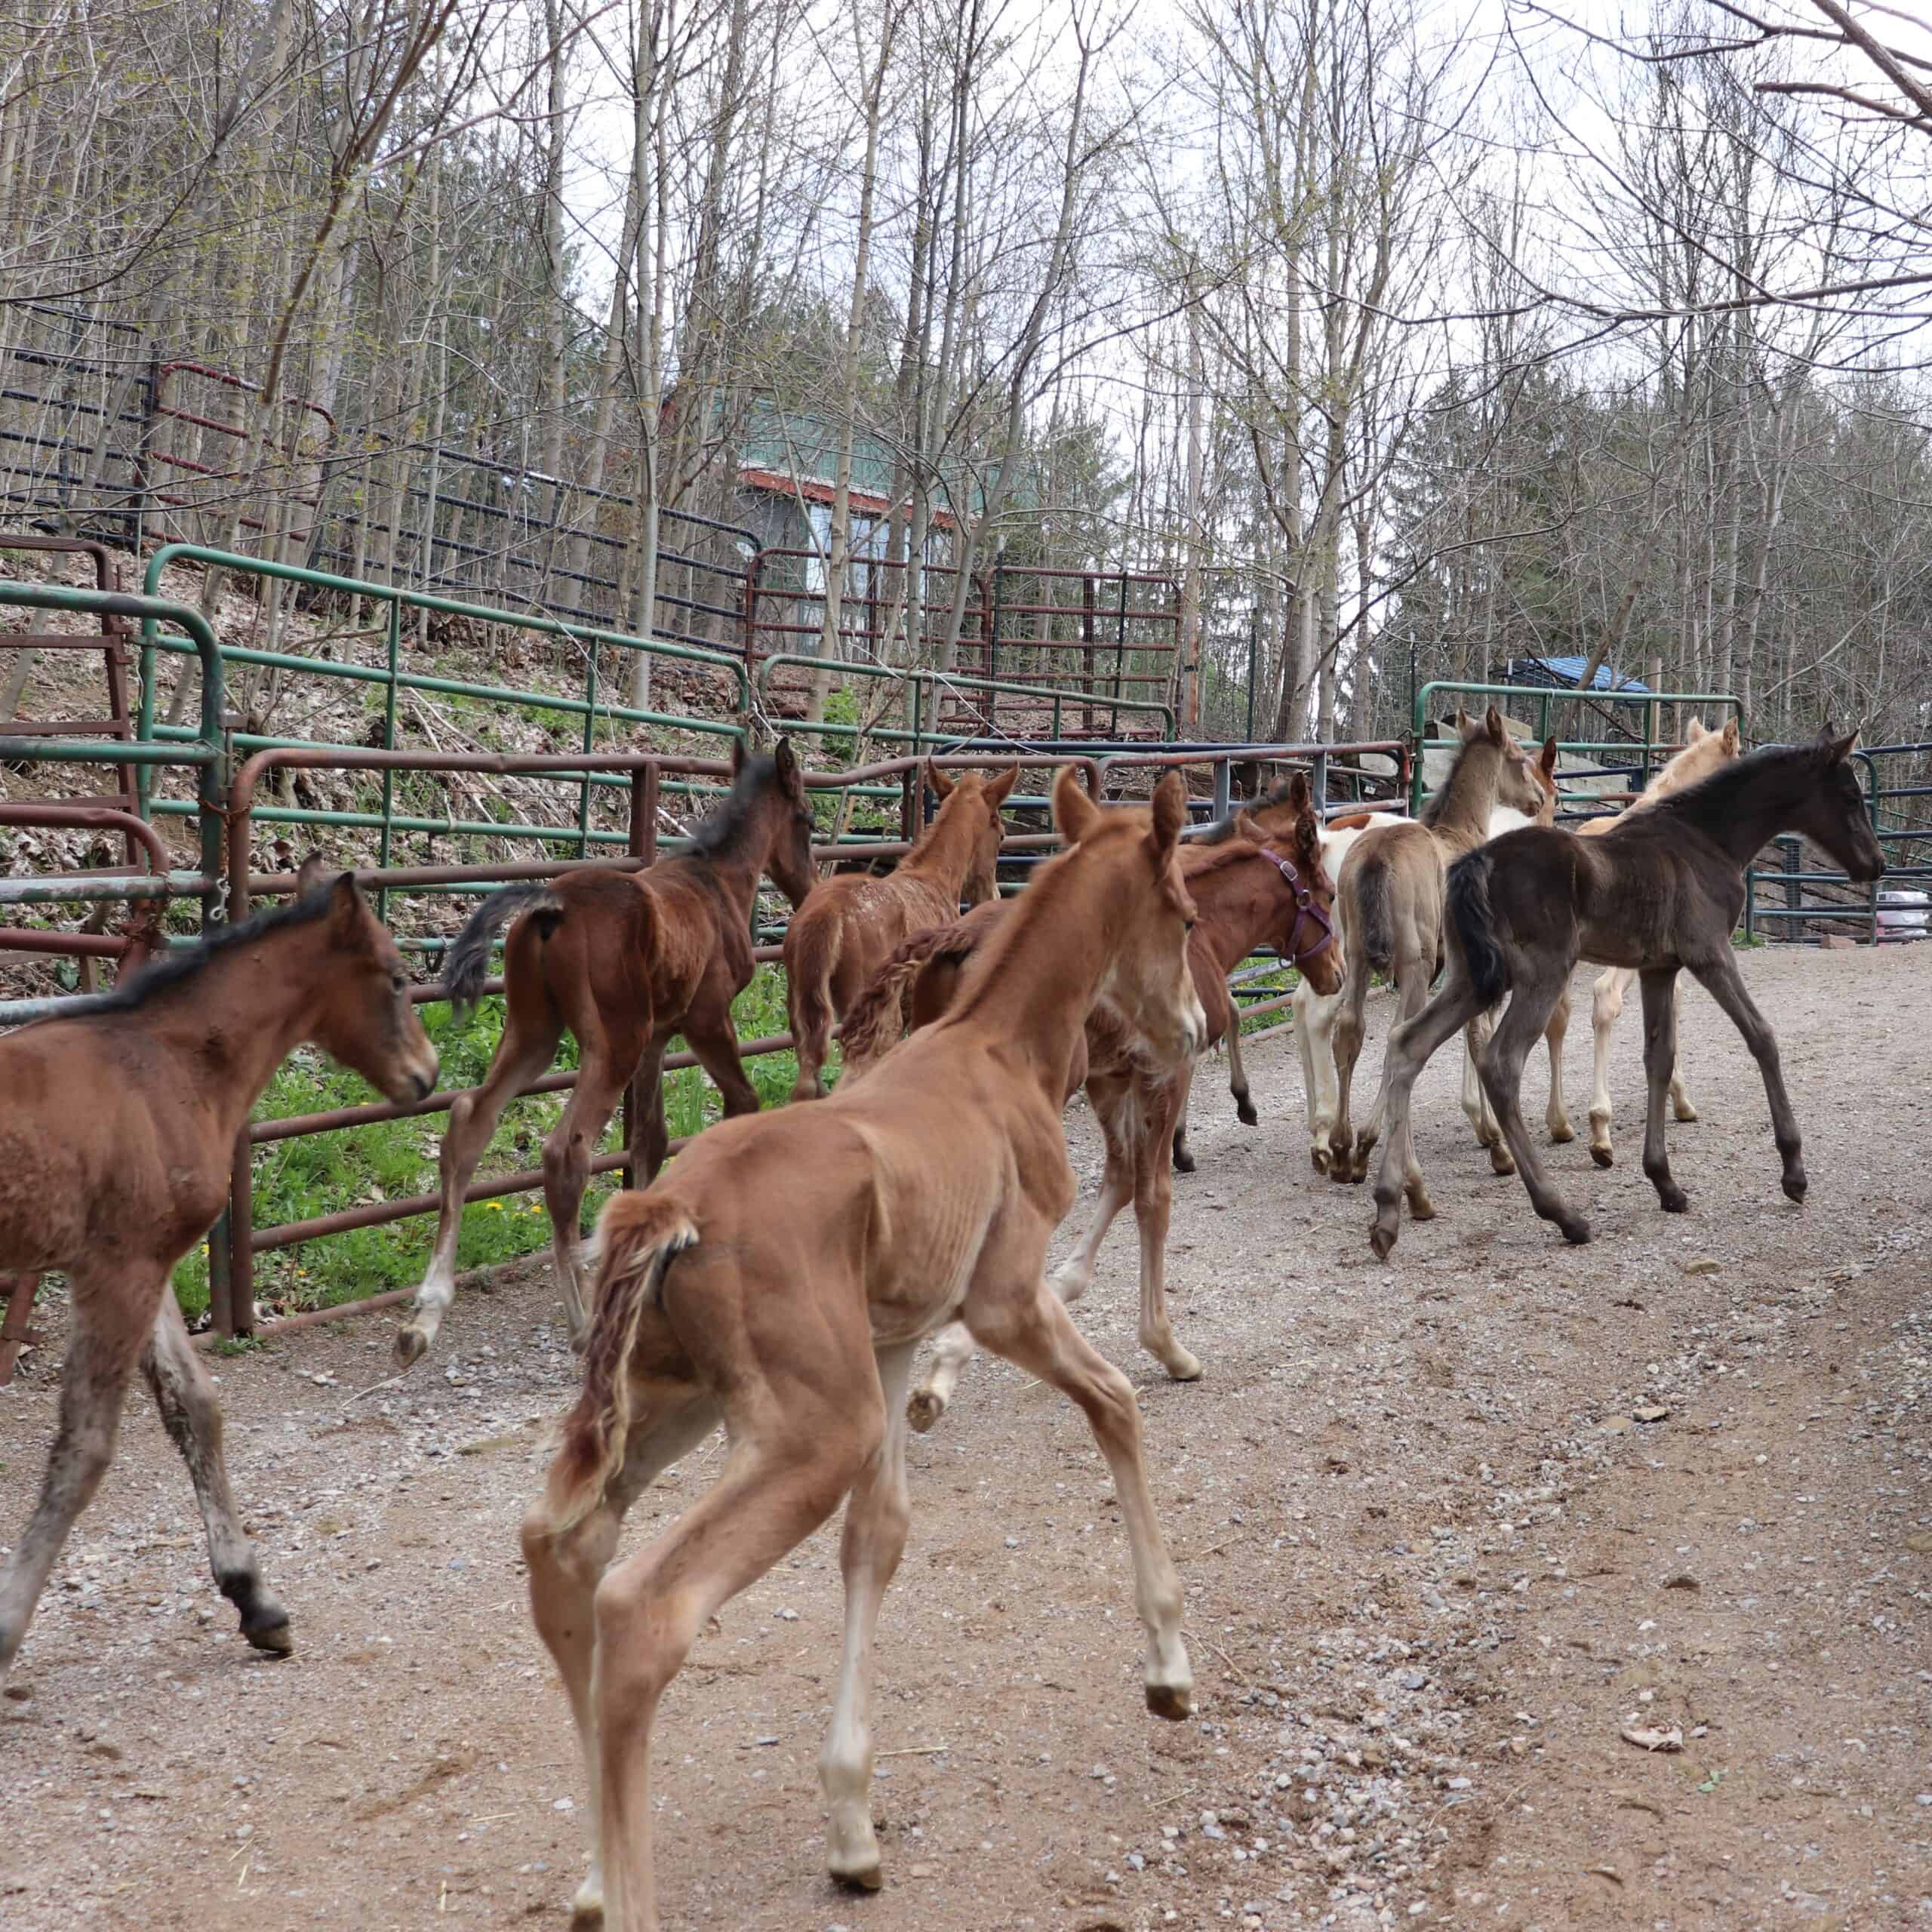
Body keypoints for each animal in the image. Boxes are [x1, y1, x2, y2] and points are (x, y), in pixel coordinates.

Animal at [521, 768, 1198, 1932]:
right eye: (1189, 916)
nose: (1197, 1024)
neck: (998, 1051)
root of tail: (667, 1206)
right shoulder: (1005, 1300)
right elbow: (1116, 1401)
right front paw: (1168, 1666)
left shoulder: (891, 1343)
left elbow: (877, 1537)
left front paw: (851, 1826)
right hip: (805, 1429)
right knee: (642, 1610)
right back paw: (627, 1892)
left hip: (674, 1400)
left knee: (562, 1547)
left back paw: (599, 1880)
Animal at [1375, 730, 1885, 1260]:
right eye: (1851, 796)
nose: (1877, 864)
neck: (1706, 841)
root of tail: (1478, 860)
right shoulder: (1710, 954)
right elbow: (1761, 1037)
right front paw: (1793, 1173)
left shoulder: (1658, 968)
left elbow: (1658, 1057)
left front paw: (1665, 1183)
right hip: (1540, 976)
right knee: (1500, 1063)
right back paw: (1563, 1215)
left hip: (1469, 979)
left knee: (1408, 1044)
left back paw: (1390, 1210)